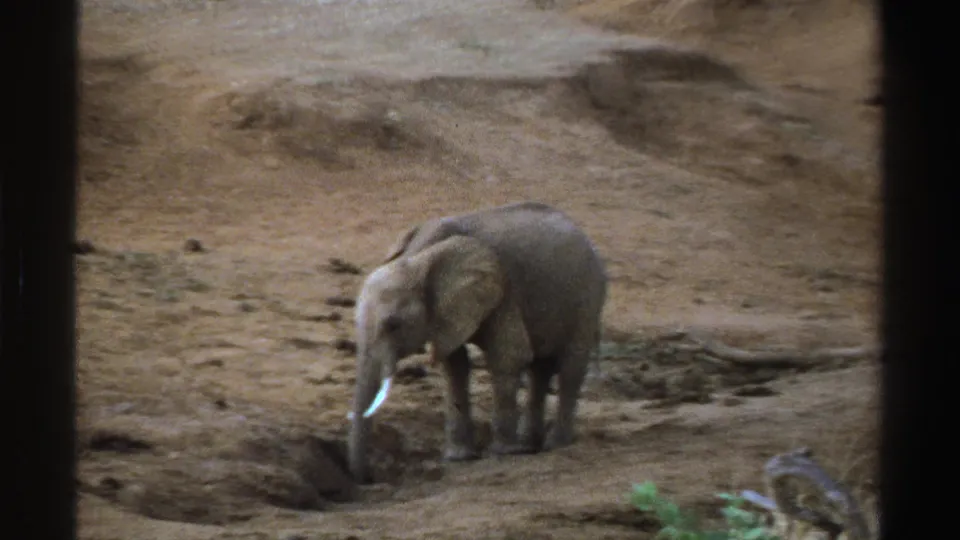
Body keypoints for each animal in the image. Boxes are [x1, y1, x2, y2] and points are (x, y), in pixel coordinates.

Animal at [347, 201, 608, 483]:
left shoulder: (502, 289)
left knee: (571, 367)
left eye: (393, 325)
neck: (418, 258)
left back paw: (555, 445)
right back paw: (531, 445)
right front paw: (459, 457)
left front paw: (503, 452)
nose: (369, 477)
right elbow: (455, 366)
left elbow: (509, 355)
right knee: (541, 369)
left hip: (588, 298)